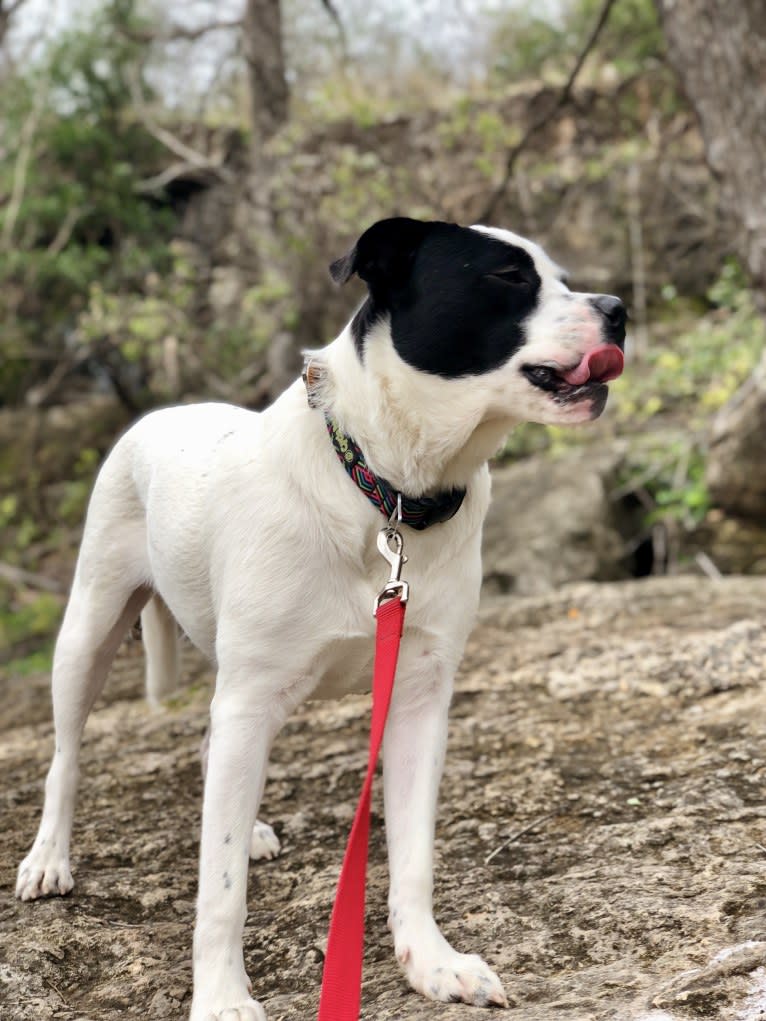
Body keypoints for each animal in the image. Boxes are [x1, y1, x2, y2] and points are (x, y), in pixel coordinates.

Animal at [15, 221, 625, 1021]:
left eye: (564, 278)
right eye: (508, 277)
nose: (619, 309)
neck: (385, 490)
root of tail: (160, 413)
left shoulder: (417, 700)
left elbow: (413, 855)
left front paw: (430, 960)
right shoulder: (250, 700)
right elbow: (219, 890)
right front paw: (221, 996)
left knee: (209, 748)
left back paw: (246, 828)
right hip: (90, 626)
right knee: (67, 755)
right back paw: (48, 856)